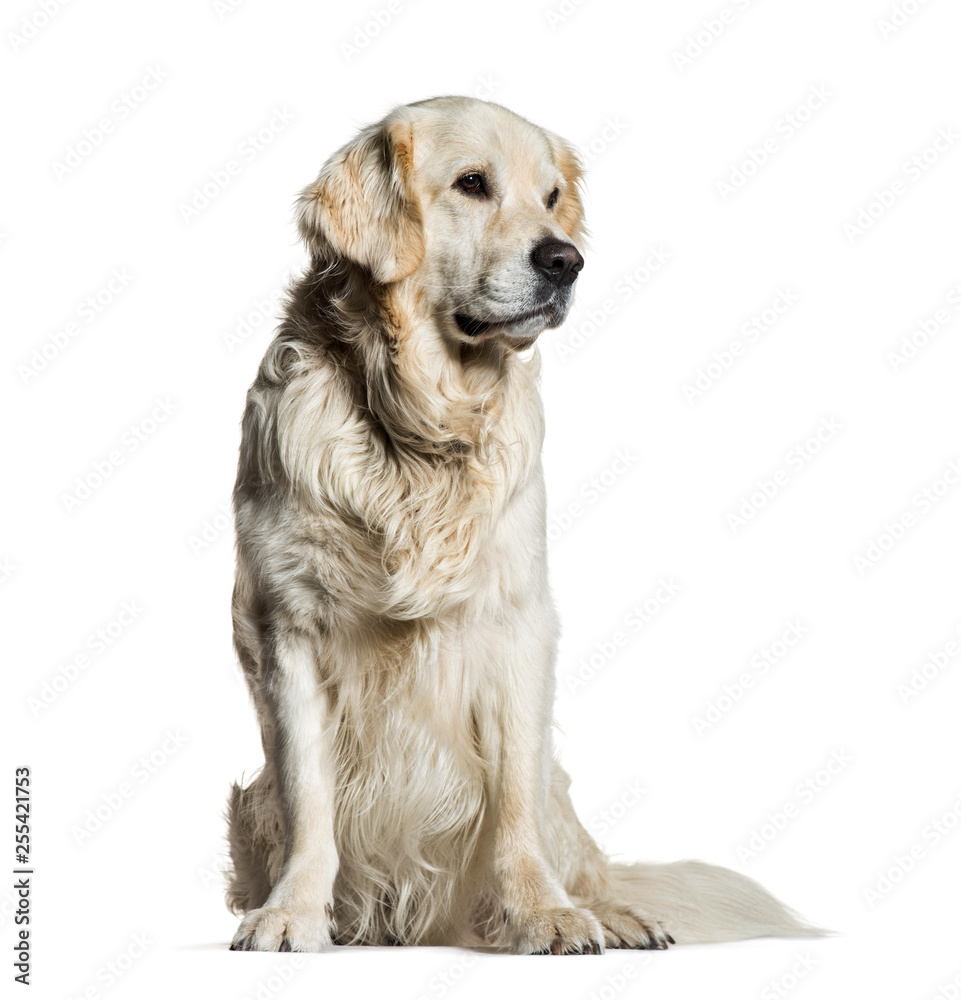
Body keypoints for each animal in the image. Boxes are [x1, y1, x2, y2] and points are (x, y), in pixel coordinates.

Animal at [225, 97, 816, 956]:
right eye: (472, 183)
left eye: (549, 197)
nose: (565, 260)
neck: (420, 430)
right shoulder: (290, 628)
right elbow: (310, 799)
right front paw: (292, 912)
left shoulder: (516, 621)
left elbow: (512, 801)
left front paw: (543, 913)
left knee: (576, 852)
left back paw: (614, 913)